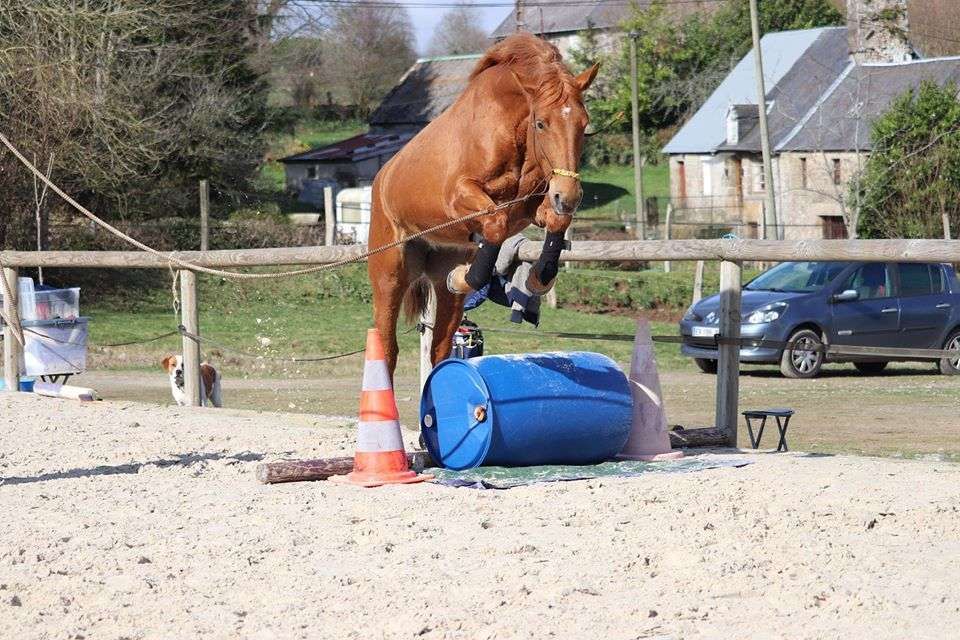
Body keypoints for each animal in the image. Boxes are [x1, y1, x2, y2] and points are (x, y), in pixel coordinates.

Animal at [368, 33, 599, 377]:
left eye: (584, 124)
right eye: (541, 124)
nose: (568, 197)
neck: (510, 126)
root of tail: (381, 178)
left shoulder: (531, 207)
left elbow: (554, 223)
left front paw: (537, 277)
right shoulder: (459, 197)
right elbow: (496, 222)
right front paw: (468, 277)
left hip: (442, 283)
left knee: (440, 347)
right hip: (389, 277)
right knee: (388, 348)